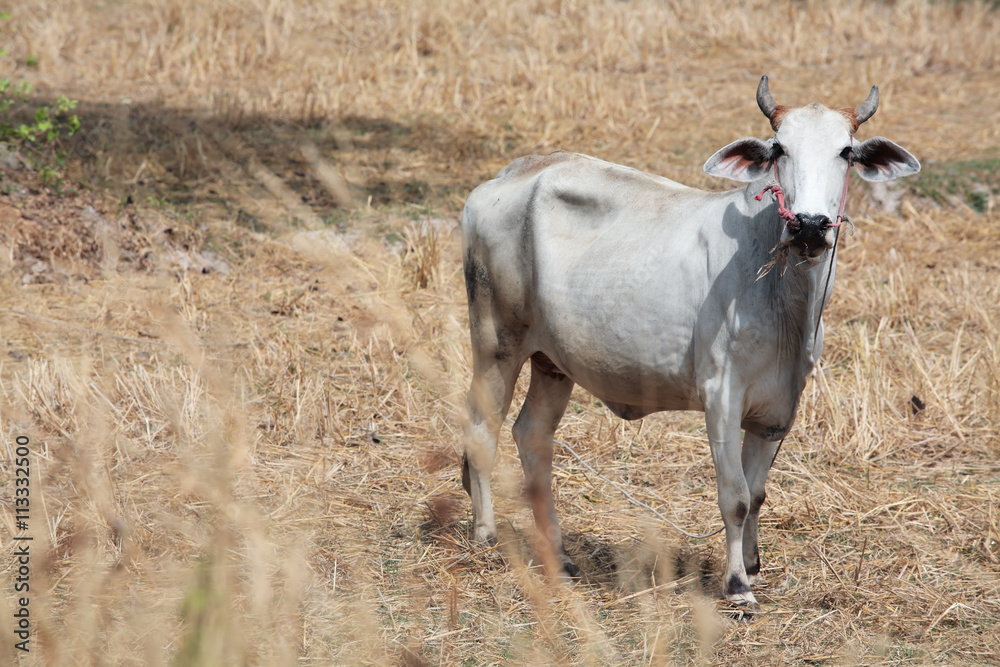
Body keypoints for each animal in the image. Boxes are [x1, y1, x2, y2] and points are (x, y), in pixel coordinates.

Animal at [459, 76, 920, 609]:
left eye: (845, 152)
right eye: (779, 148)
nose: (808, 224)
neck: (786, 300)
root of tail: (507, 176)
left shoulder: (778, 410)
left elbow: (757, 493)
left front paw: (753, 564)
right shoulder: (721, 395)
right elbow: (734, 497)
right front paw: (737, 587)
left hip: (552, 362)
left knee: (532, 437)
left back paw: (561, 557)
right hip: (496, 342)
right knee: (481, 430)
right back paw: (486, 536)